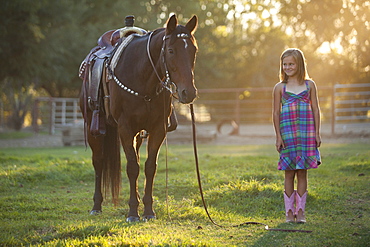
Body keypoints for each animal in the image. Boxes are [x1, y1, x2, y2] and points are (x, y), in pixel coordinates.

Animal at [80, 14, 198, 222]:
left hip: (137, 135)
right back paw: (96, 206)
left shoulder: (158, 129)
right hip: (94, 130)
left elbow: (150, 166)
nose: (188, 92)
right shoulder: (125, 129)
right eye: (170, 50)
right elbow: (132, 167)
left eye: (194, 50)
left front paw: (148, 211)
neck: (142, 78)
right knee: (98, 162)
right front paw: (133, 213)